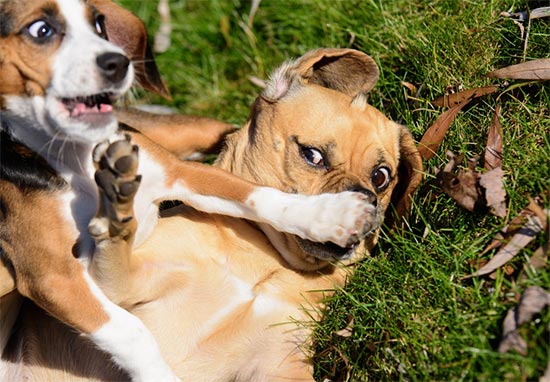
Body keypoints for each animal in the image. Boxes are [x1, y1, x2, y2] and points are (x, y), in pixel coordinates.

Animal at [0, 1, 380, 380]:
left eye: (97, 23)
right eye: (40, 31)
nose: (118, 63)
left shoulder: (183, 174)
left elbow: (260, 197)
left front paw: (331, 215)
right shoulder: (54, 277)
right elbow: (130, 330)